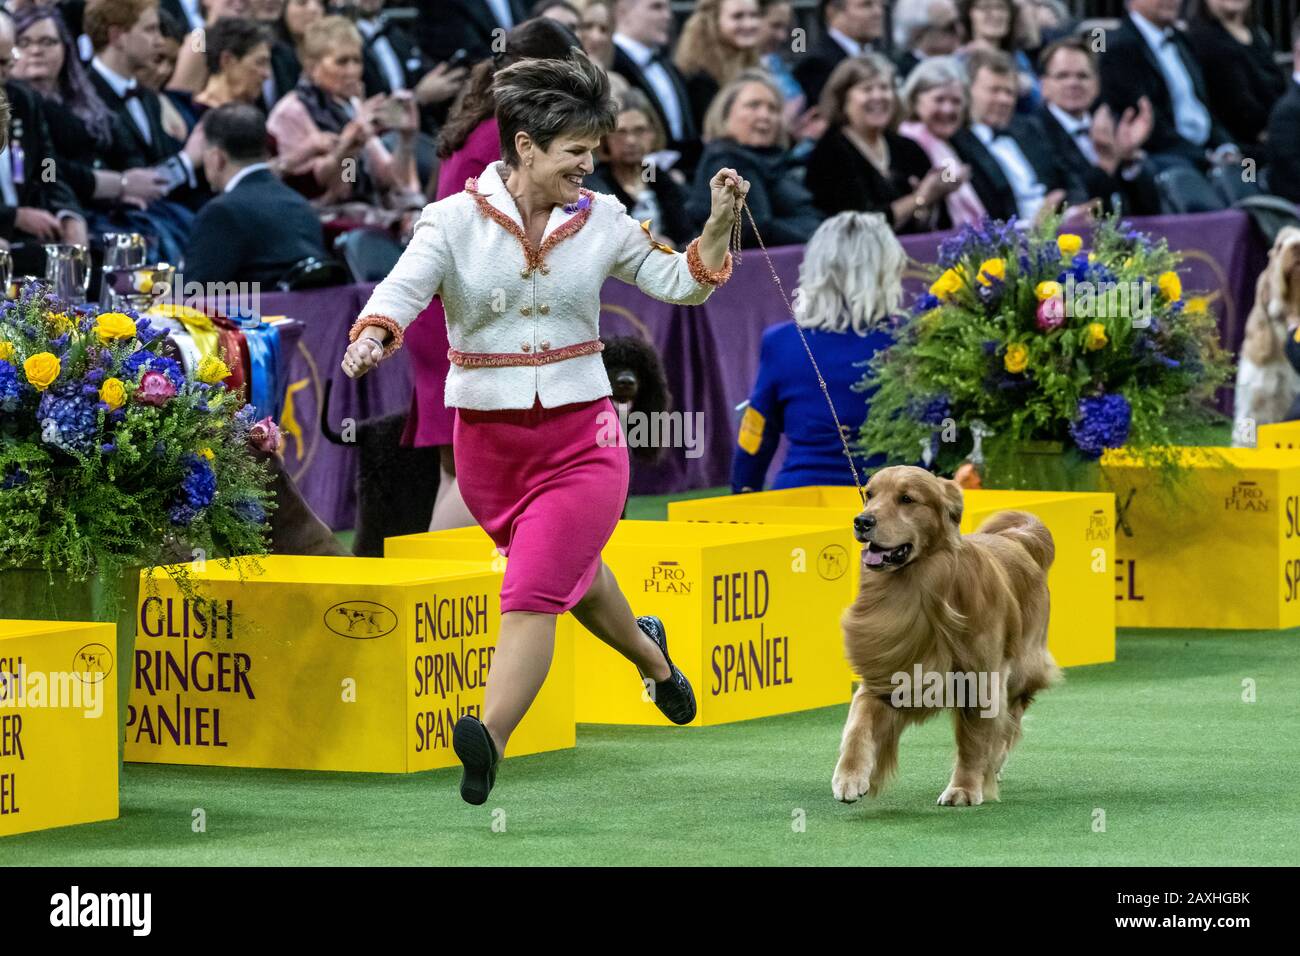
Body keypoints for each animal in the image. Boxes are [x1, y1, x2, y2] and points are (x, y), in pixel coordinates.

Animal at [832, 468, 1055, 811]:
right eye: (869, 494)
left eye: (907, 499)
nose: (862, 521)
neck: (916, 590)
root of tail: (1014, 539)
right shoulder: (885, 672)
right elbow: (857, 725)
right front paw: (850, 778)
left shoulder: (980, 679)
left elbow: (974, 740)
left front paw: (964, 788)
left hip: (1021, 668)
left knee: (1011, 719)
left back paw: (994, 763)